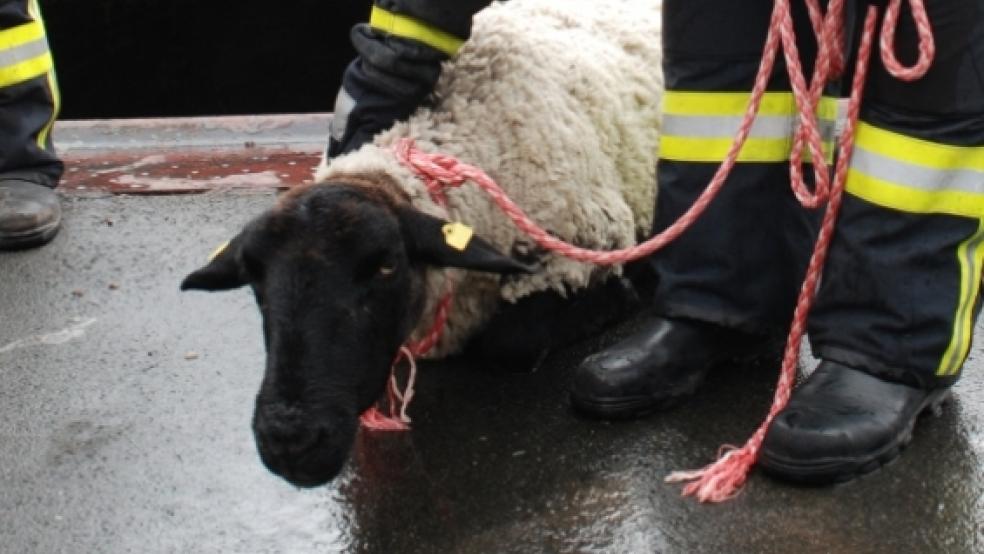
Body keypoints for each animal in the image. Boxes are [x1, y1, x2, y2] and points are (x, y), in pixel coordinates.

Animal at [182, 0, 664, 486]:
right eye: (256, 282)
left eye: (385, 266)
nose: (291, 442)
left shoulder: (588, 242)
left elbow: (514, 342)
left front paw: (616, 299)